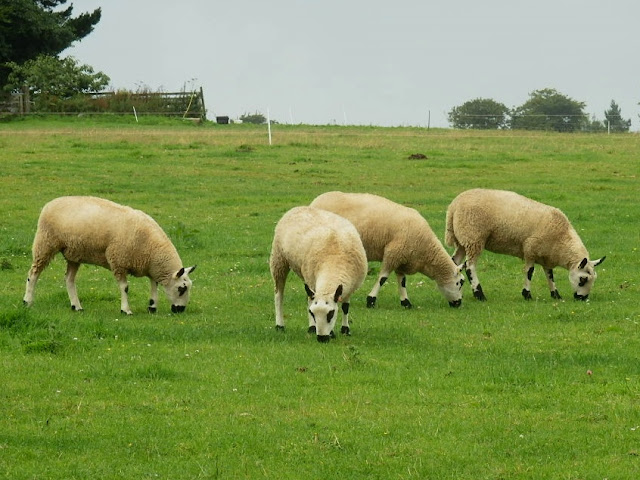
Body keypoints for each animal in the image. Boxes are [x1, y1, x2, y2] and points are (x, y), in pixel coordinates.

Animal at [22, 196, 196, 316]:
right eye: (181, 289)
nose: (181, 310)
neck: (153, 249)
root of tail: (50, 203)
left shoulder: (150, 265)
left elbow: (154, 285)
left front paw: (152, 306)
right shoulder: (118, 261)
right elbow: (125, 288)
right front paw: (126, 310)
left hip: (74, 253)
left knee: (69, 279)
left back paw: (76, 306)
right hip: (45, 244)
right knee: (33, 274)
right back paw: (27, 301)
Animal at [268, 206, 368, 342]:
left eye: (331, 313)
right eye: (312, 313)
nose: (322, 338)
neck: (335, 261)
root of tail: (298, 207)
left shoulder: (350, 286)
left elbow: (345, 307)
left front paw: (345, 330)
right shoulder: (312, 281)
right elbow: (310, 303)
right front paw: (315, 328)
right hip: (279, 259)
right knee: (279, 295)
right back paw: (280, 325)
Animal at [308, 193, 462, 310]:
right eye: (460, 282)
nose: (459, 303)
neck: (426, 250)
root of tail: (315, 201)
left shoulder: (402, 259)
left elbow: (402, 281)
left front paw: (406, 302)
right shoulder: (393, 253)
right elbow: (382, 278)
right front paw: (371, 300)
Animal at [444, 188, 604, 300]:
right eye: (583, 280)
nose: (582, 298)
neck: (562, 240)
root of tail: (453, 206)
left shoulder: (546, 255)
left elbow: (549, 275)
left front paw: (555, 294)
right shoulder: (530, 250)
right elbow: (529, 271)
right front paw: (527, 294)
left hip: (462, 241)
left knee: (454, 262)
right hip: (473, 237)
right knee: (470, 267)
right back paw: (479, 294)